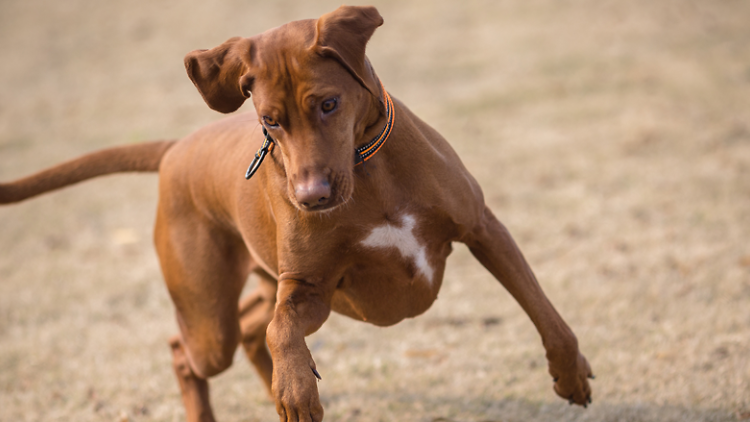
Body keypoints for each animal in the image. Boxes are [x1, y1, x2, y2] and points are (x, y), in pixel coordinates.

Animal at [1, 4, 600, 420]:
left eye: (328, 104)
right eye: (270, 121)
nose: (310, 197)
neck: (368, 172)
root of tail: (176, 148)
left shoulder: (482, 229)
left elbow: (545, 312)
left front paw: (570, 375)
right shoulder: (311, 288)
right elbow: (282, 330)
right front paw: (296, 388)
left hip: (253, 286)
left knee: (248, 327)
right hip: (209, 319)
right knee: (192, 347)